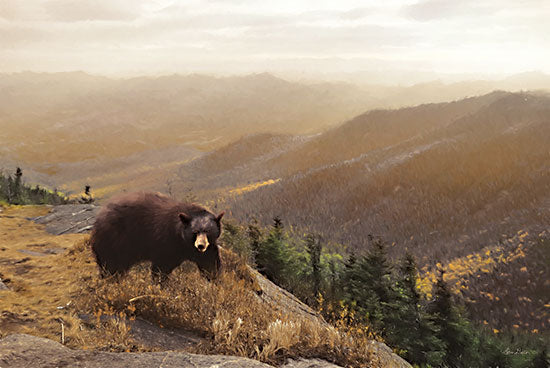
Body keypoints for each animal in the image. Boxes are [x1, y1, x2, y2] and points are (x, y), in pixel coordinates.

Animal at [91, 191, 225, 280]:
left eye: (208, 231)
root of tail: (98, 218)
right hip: (114, 241)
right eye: (195, 232)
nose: (201, 246)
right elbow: (161, 266)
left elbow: (210, 263)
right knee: (111, 265)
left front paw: (214, 280)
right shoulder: (166, 241)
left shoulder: (205, 249)